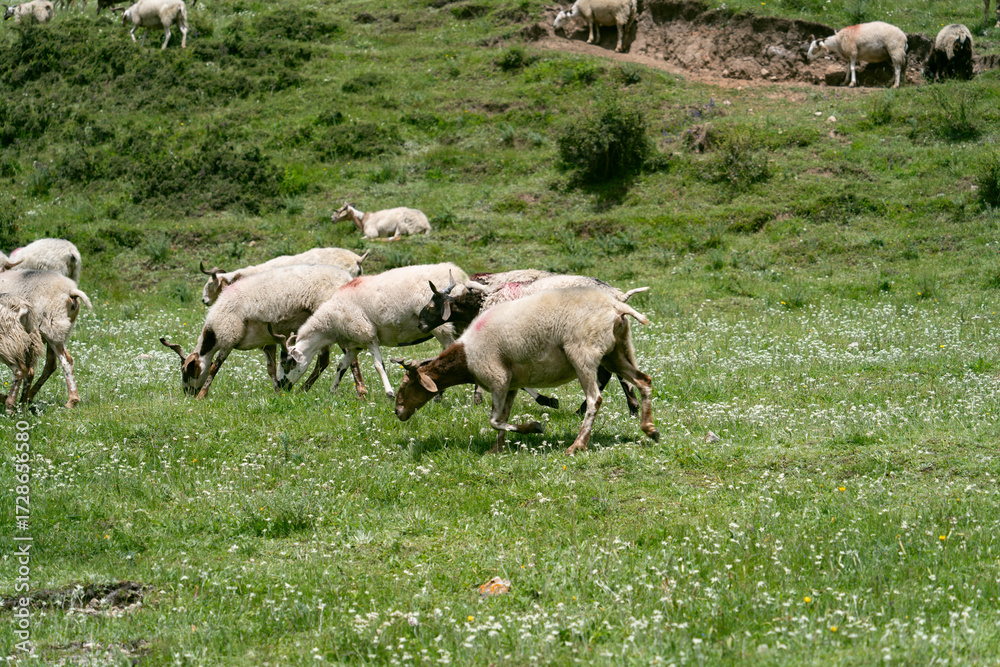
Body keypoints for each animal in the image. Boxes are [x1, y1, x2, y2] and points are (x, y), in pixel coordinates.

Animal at [0, 271, 91, 409]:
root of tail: (70, 290)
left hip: (49, 327)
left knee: (65, 361)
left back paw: (72, 400)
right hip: (54, 332)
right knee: (52, 363)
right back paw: (28, 398)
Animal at [160, 265, 366, 399]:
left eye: (187, 372)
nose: (187, 393)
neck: (213, 333)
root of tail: (347, 279)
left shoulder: (228, 336)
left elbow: (214, 367)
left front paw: (202, 395)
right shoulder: (268, 342)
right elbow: (271, 369)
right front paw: (277, 392)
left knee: (349, 357)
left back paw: (361, 391)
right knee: (324, 361)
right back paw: (303, 390)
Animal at [272, 263, 469, 399]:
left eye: (287, 363)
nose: (281, 387)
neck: (330, 323)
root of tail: (462, 278)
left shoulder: (368, 335)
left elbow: (378, 365)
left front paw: (389, 393)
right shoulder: (355, 344)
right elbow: (341, 366)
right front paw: (332, 391)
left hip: (442, 327)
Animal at [393, 287, 660, 455]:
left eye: (407, 385)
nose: (397, 412)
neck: (466, 358)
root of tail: (615, 305)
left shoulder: (497, 378)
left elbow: (494, 421)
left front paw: (533, 428)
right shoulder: (510, 384)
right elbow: (502, 419)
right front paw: (497, 449)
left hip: (583, 353)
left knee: (595, 399)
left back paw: (578, 445)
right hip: (616, 353)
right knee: (644, 381)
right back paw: (650, 429)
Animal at [417, 271, 649, 414]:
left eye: (431, 306)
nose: (420, 325)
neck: (481, 302)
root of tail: (618, 297)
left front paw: (547, 400)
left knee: (609, 374)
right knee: (615, 373)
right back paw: (629, 408)